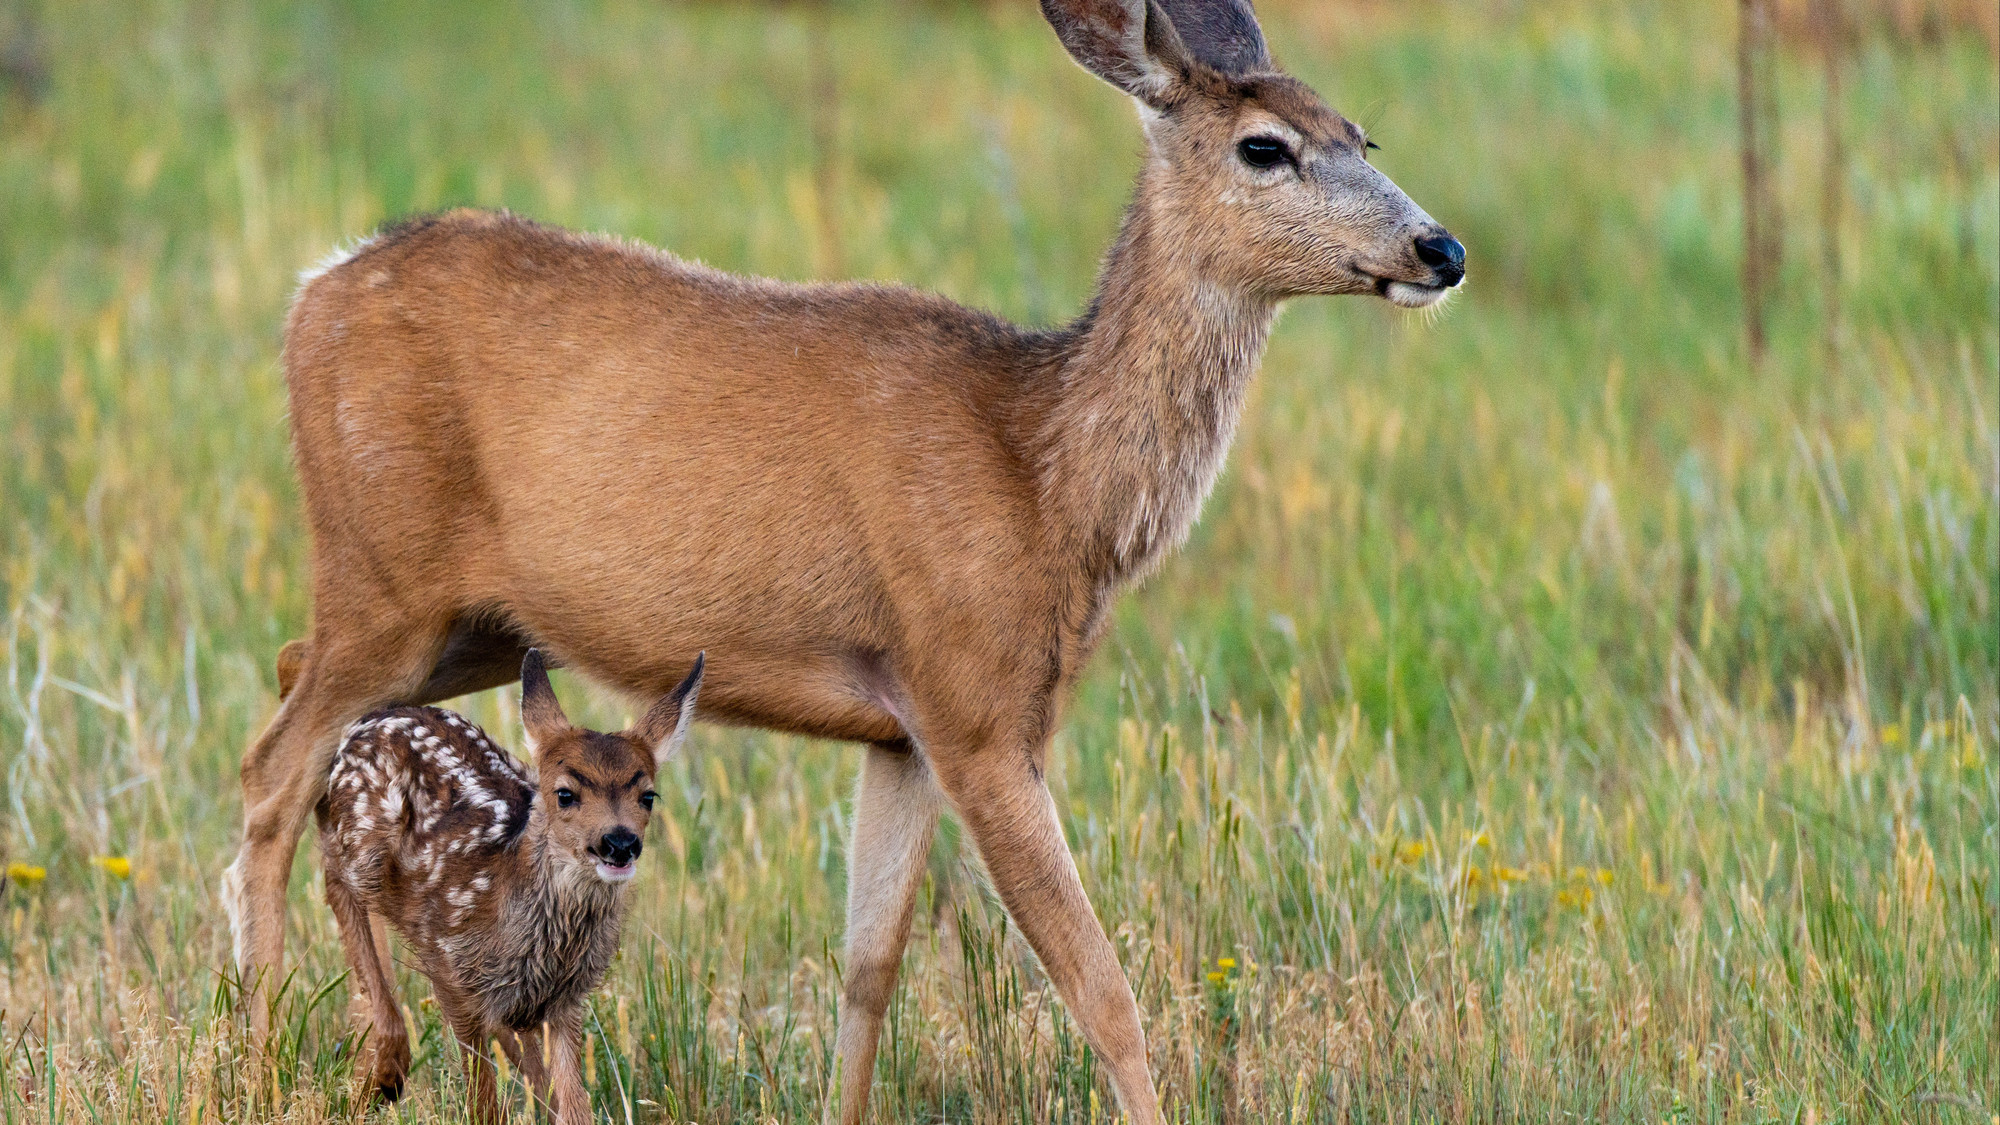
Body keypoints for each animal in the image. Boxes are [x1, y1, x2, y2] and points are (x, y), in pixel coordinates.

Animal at [227, 0, 1464, 1112]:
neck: (1042, 477)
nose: (1438, 248)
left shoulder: (899, 727)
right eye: (1264, 147)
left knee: (287, 684)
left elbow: (867, 967)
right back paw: (272, 1051)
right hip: (380, 573)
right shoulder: (974, 708)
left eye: (1361, 136)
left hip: (471, 623)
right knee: (272, 770)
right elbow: (1099, 987)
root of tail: (311, 291)